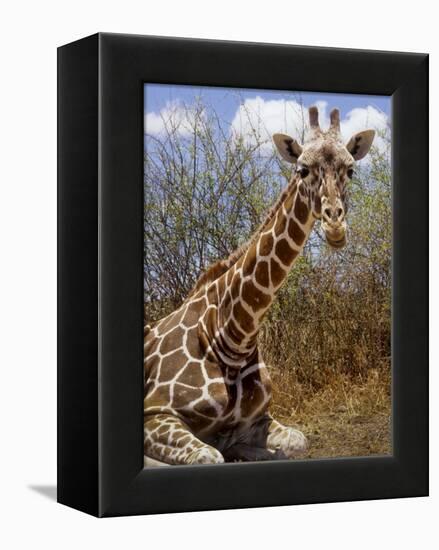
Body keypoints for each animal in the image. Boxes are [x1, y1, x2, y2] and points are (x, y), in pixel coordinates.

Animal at [144, 104, 374, 466]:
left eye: (350, 170)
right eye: (302, 170)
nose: (335, 226)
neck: (232, 334)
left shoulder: (257, 419)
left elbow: (296, 442)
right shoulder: (154, 413)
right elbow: (208, 456)